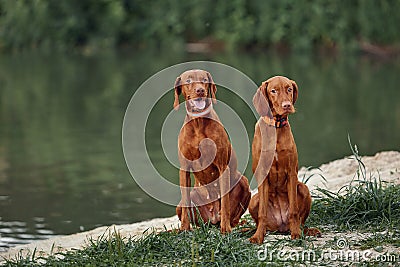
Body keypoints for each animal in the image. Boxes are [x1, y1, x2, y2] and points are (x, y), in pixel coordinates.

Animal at [174, 69, 250, 234]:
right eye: (188, 81)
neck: (198, 123)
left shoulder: (222, 168)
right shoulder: (184, 169)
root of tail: (212, 218)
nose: (200, 90)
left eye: (204, 80)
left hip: (243, 181)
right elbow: (186, 204)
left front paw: (225, 229)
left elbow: (225, 202)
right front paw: (184, 228)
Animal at [248, 75, 320, 245]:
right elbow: (261, 214)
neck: (275, 126)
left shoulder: (292, 173)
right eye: (273, 91)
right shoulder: (262, 173)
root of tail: (280, 226)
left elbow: (294, 210)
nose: (287, 105)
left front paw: (296, 234)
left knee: (301, 220)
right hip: (253, 199)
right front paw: (257, 236)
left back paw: (306, 230)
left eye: (289, 89)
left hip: (303, 188)